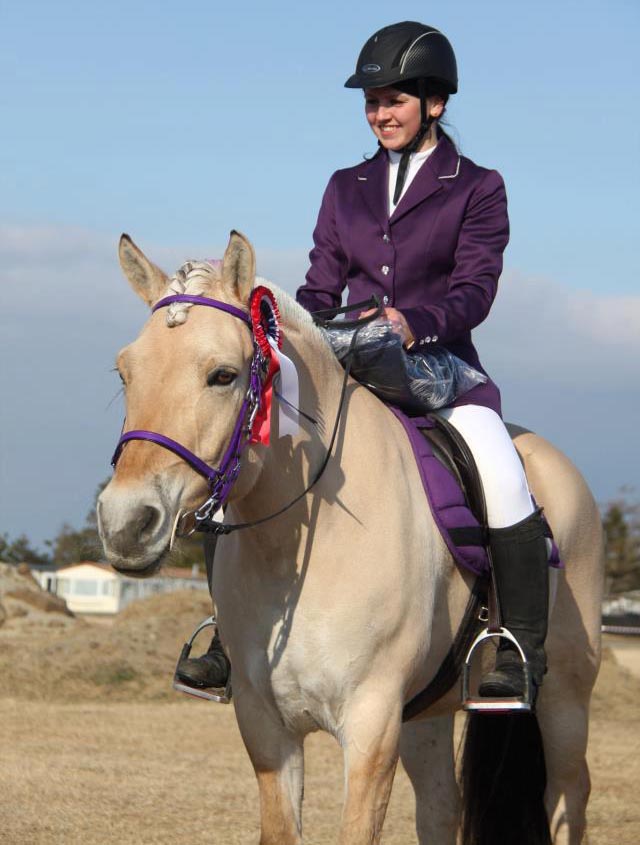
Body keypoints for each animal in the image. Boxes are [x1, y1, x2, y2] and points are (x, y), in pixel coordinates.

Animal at [100, 231, 604, 844]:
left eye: (224, 375)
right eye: (125, 373)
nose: (125, 523)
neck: (302, 553)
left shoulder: (370, 726)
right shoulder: (267, 728)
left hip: (565, 699)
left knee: (567, 797)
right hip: (426, 715)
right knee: (440, 806)